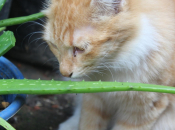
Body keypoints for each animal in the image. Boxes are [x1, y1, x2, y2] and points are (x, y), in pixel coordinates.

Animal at [43, 0, 175, 130]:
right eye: (54, 46)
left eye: (79, 49)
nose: (64, 73)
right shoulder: (93, 98)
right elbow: (87, 124)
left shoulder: (143, 110)